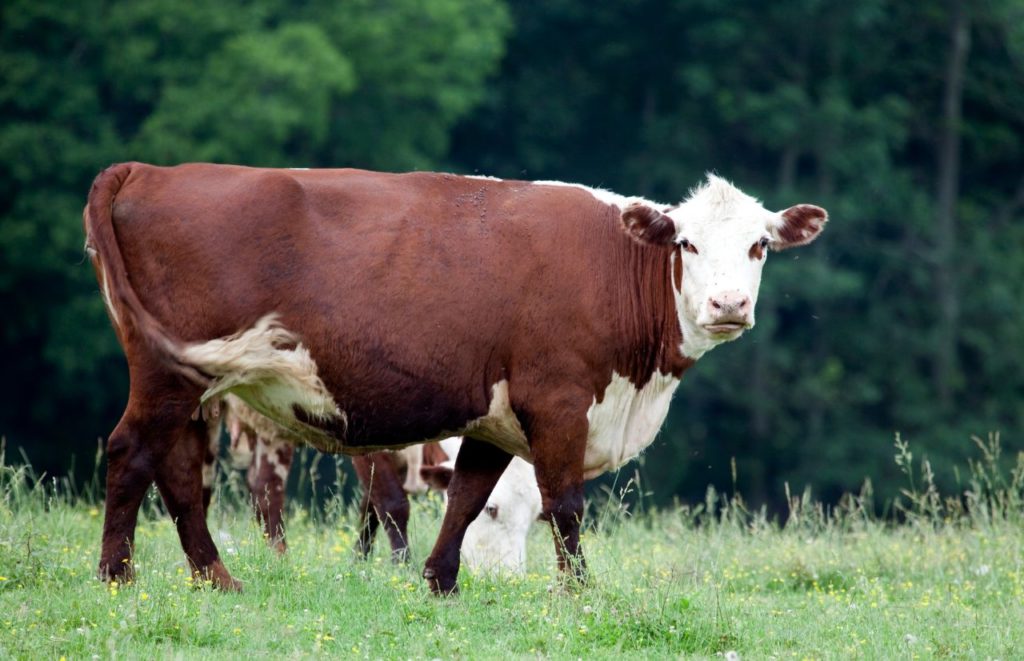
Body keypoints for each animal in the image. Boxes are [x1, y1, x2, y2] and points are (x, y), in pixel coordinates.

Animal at [83, 164, 827, 597]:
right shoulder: (558, 400)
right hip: (171, 374)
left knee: (181, 473)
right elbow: (566, 503)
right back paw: (117, 575)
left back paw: (217, 578)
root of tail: (150, 169)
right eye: (687, 243)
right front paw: (579, 592)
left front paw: (439, 581)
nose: (729, 304)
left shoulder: (494, 414)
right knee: (132, 453)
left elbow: (466, 496)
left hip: (195, 387)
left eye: (760, 245)